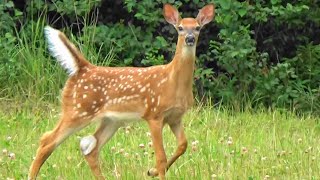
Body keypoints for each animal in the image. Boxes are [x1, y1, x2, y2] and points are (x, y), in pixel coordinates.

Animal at [28, 3, 214, 179]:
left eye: (197, 27)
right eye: (180, 28)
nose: (190, 39)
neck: (173, 83)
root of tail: (83, 67)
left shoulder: (175, 117)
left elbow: (183, 145)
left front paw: (151, 171)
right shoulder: (153, 114)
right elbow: (161, 158)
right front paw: (155, 171)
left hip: (111, 120)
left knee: (91, 150)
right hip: (78, 109)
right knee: (47, 140)